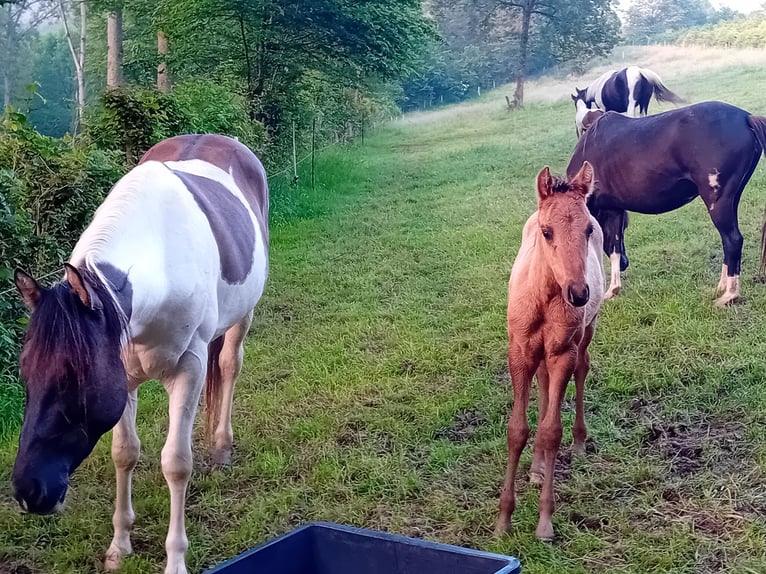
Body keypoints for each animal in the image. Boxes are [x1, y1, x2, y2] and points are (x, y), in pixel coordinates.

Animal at [10, 133, 270, 572]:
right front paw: (119, 545)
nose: (30, 492)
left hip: (242, 317)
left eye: (74, 375)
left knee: (230, 365)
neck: (160, 261)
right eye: (25, 370)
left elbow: (176, 463)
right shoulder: (124, 376)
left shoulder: (190, 370)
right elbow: (124, 454)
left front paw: (175, 560)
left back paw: (221, 447)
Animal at [498, 163, 608, 544]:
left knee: (582, 370)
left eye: (588, 229)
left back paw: (578, 444)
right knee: (544, 385)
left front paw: (544, 523)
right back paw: (537, 467)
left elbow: (550, 431)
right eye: (547, 232)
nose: (578, 293)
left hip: (585, 334)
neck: (545, 297)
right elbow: (517, 430)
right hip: (540, 354)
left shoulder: (563, 352)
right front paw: (503, 521)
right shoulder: (520, 353)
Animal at [568, 101, 766, 308]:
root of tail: (746, 117)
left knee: (733, 240)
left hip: (718, 202)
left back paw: (729, 295)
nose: (625, 263)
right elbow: (614, 248)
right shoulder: (613, 210)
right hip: (731, 199)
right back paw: (721, 287)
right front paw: (612, 290)